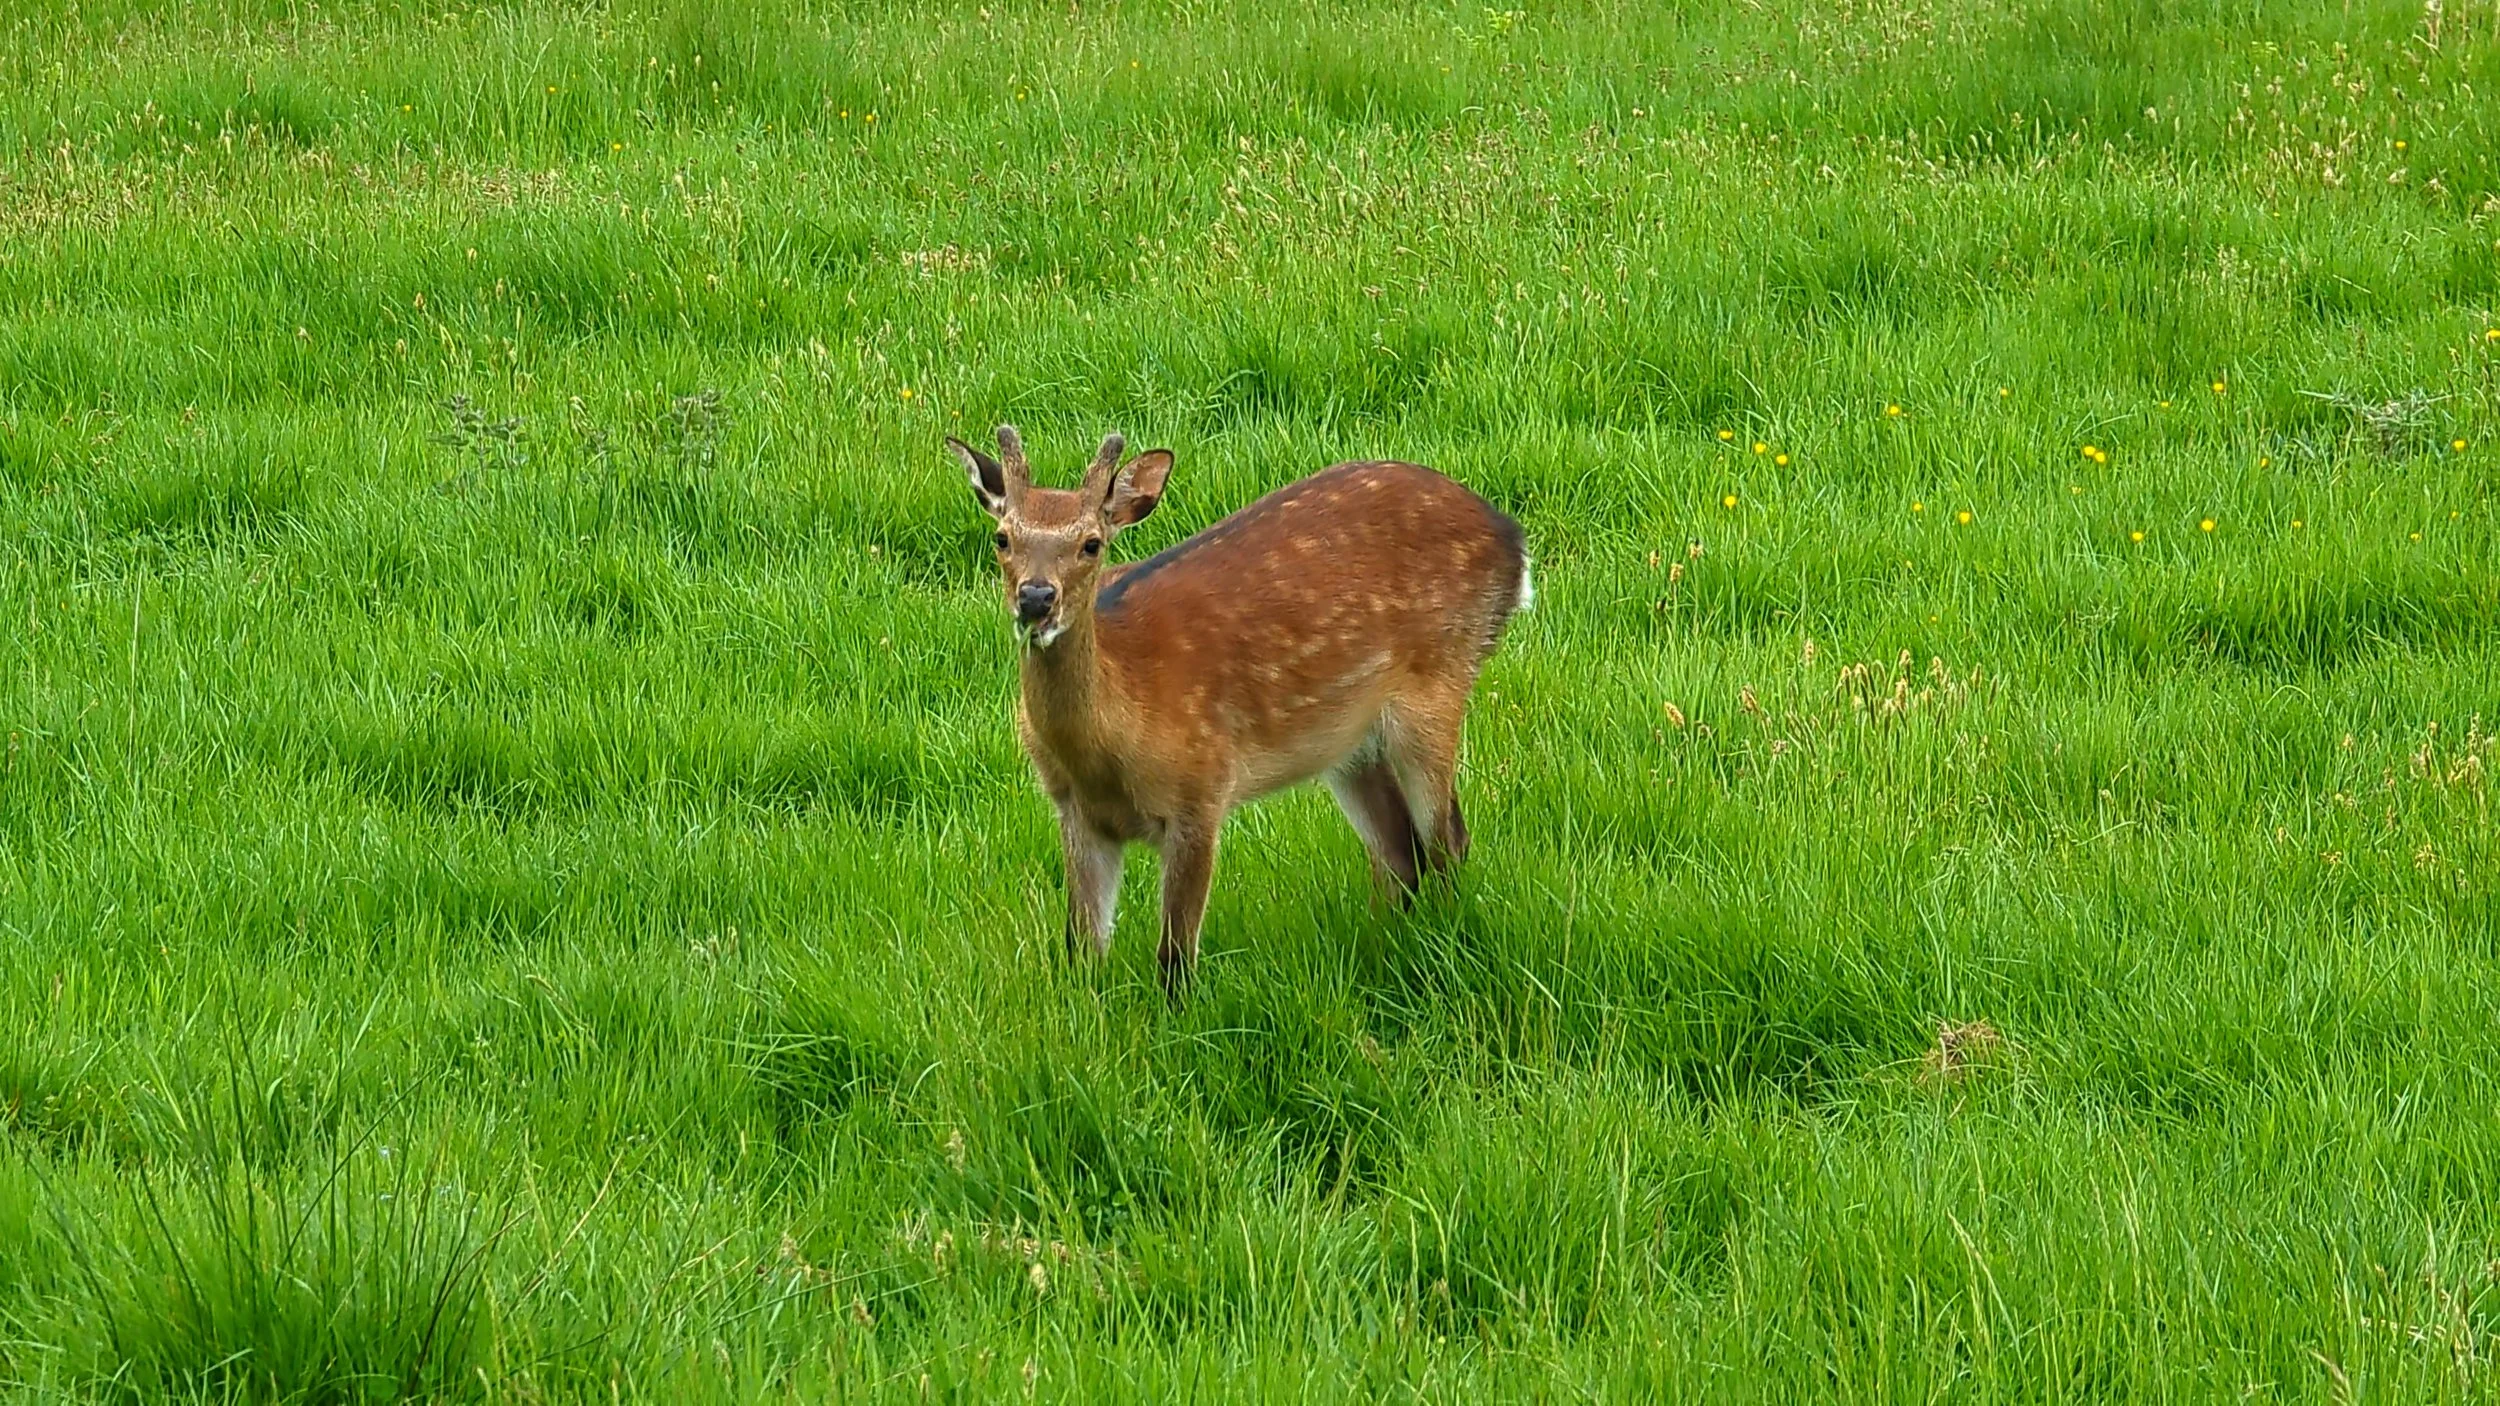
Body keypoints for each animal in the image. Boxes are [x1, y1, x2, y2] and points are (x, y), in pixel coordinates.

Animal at [947, 425, 1530, 997]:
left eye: (1091, 543)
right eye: (1003, 537)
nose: (1036, 598)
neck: (1109, 749)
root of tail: (1513, 540)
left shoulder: (1201, 789)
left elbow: (1174, 957)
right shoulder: (1073, 809)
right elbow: (1082, 949)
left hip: (1439, 682)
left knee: (1447, 840)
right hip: (1348, 743)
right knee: (1401, 851)